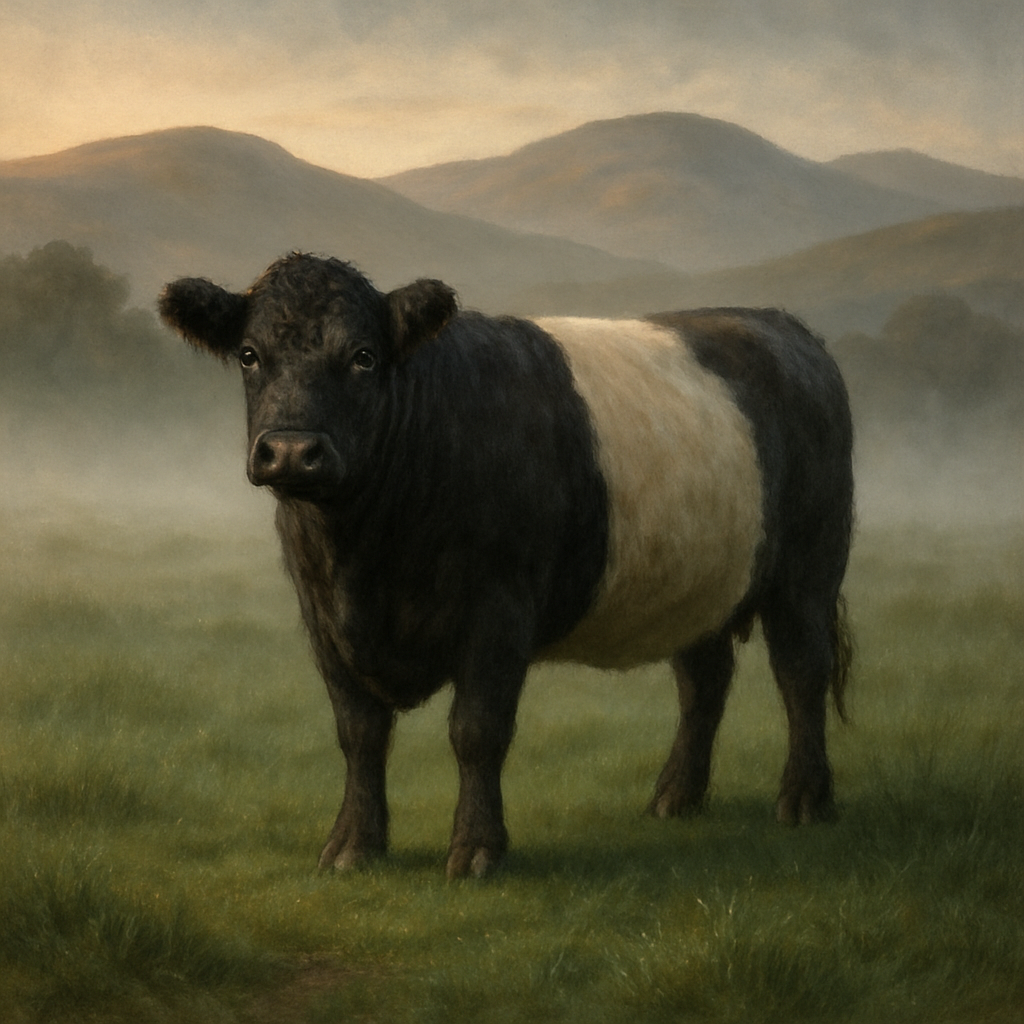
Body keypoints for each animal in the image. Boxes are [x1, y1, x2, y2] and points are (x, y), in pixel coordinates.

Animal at [158, 253, 854, 879]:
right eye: (249, 355)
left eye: (363, 356)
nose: (291, 451)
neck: (364, 553)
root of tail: (782, 325)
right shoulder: (323, 614)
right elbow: (359, 733)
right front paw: (353, 847)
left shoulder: (498, 608)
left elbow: (477, 731)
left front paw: (476, 851)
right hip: (699, 580)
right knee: (703, 682)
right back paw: (675, 798)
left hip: (808, 571)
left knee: (801, 673)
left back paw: (804, 800)